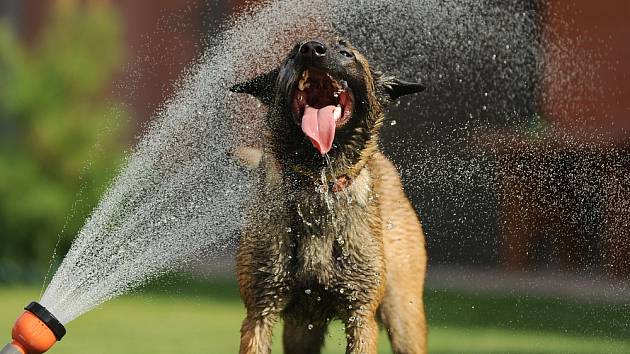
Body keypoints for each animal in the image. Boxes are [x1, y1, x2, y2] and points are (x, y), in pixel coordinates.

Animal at [230, 38, 428, 354]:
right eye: (291, 54)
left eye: (346, 53)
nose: (311, 49)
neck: (317, 184)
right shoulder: (260, 311)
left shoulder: (361, 316)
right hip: (300, 331)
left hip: (403, 316)